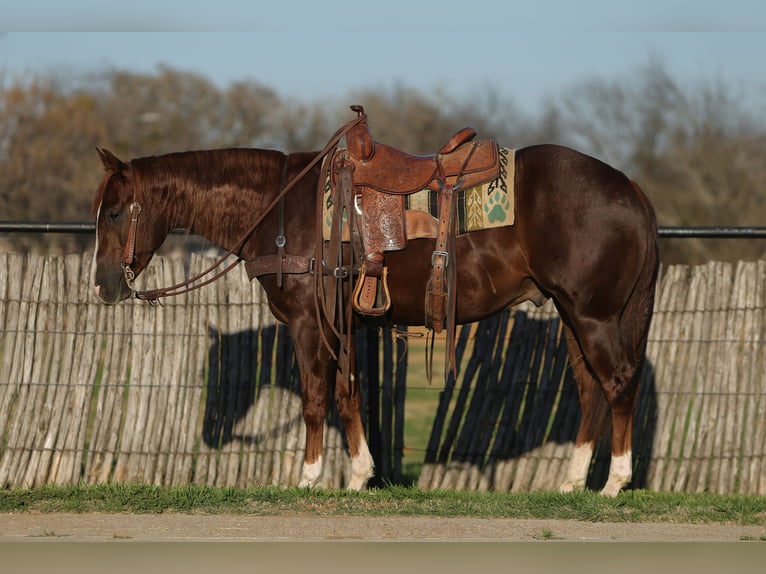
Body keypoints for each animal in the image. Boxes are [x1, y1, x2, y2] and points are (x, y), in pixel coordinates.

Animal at [90, 116, 659, 497]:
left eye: (115, 211)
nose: (102, 287)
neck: (281, 208)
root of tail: (630, 187)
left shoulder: (308, 323)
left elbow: (316, 397)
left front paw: (310, 478)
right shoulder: (341, 323)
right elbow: (349, 393)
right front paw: (360, 475)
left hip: (594, 316)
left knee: (618, 382)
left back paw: (615, 483)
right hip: (571, 315)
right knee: (589, 390)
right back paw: (570, 483)